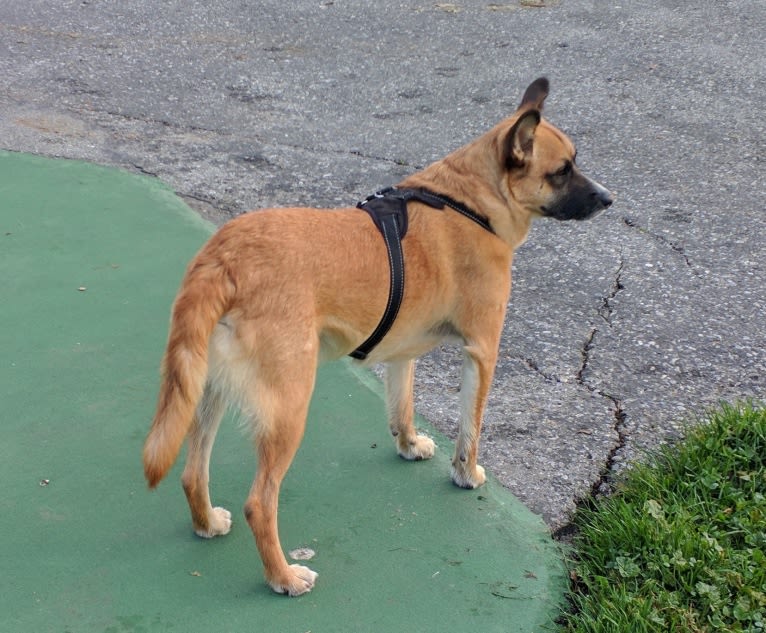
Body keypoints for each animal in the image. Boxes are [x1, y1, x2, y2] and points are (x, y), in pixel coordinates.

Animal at [142, 76, 612, 596]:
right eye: (563, 170)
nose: (609, 199)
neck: (469, 198)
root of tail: (223, 257)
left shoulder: (402, 353)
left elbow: (401, 407)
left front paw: (408, 444)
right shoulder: (483, 352)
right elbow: (470, 429)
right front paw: (466, 474)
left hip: (207, 391)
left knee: (191, 473)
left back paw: (206, 523)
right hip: (288, 408)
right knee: (259, 503)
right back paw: (283, 576)